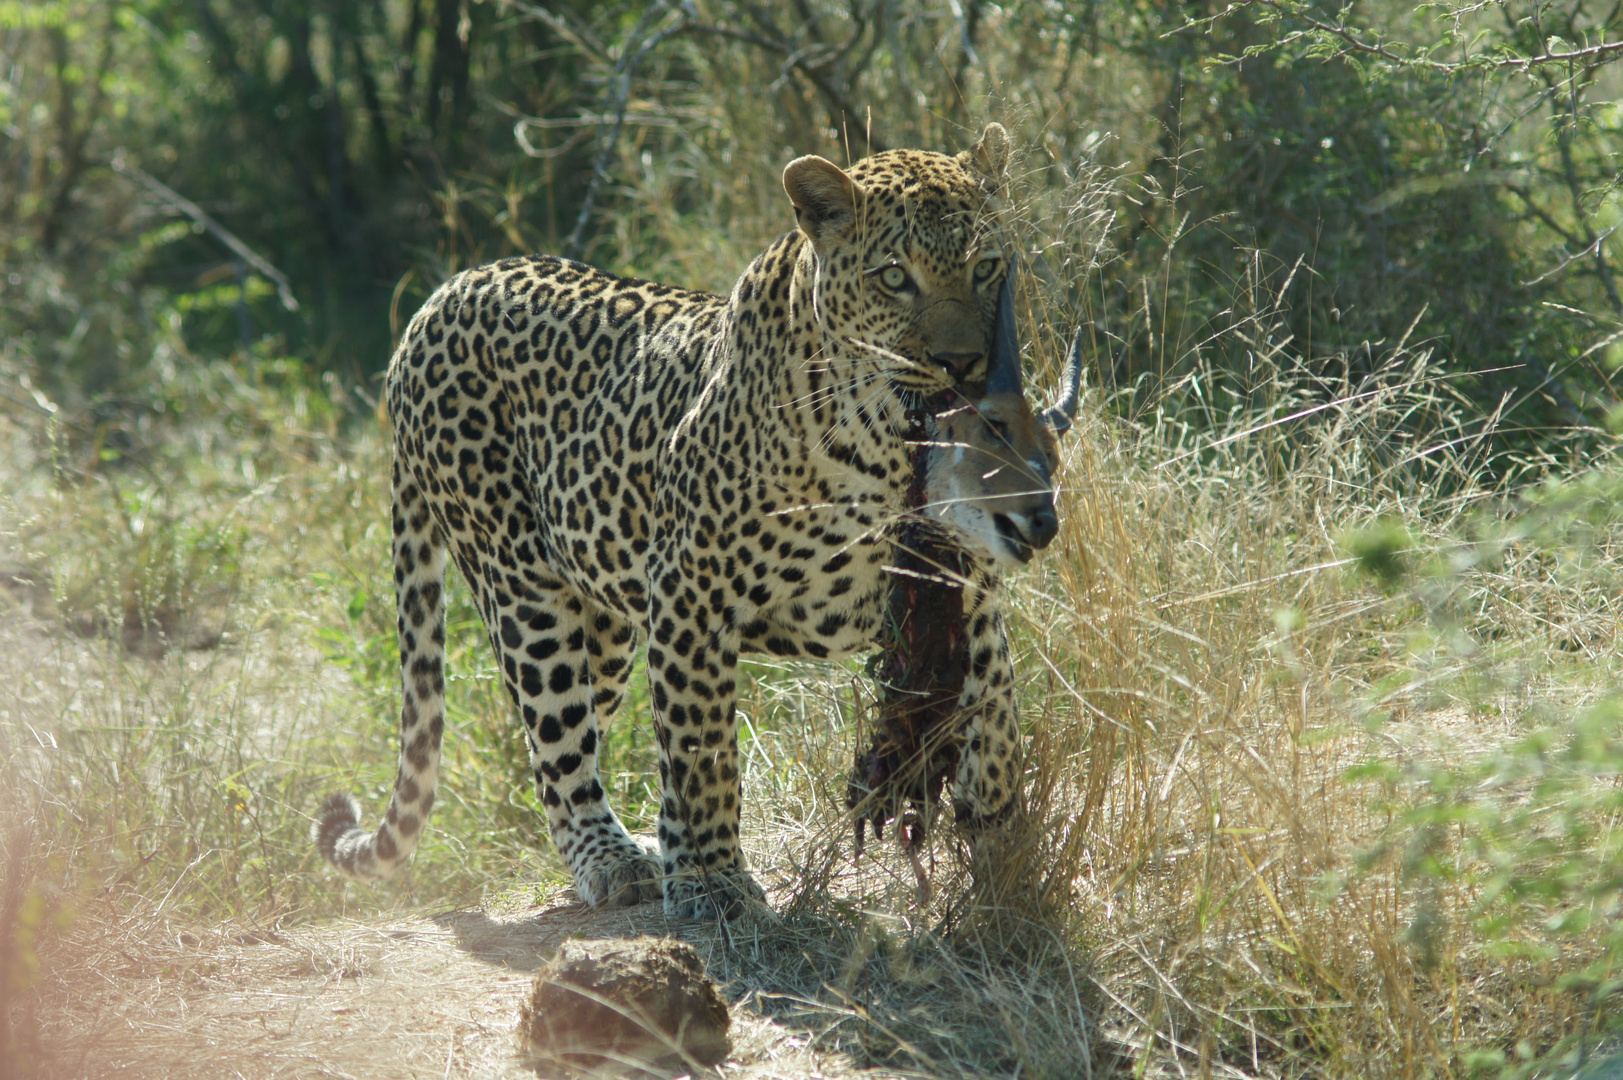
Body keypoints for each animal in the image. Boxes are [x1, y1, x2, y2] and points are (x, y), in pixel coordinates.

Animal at [311, 126, 1084, 915]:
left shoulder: (963, 596)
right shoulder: (691, 590)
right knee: (555, 740)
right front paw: (714, 881)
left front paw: (1007, 858)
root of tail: (435, 301)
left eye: (986, 267)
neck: (880, 451)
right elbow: (700, 749)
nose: (963, 363)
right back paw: (614, 860)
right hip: (523, 586)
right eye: (895, 278)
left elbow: (997, 723)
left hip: (606, 621)